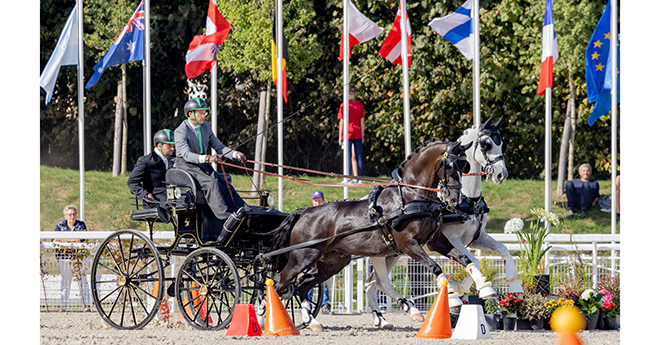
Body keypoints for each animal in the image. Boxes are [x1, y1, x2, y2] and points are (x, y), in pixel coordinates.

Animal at [268, 138, 470, 330]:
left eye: (465, 167)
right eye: (450, 166)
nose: (455, 199)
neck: (409, 197)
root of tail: (303, 212)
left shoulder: (435, 242)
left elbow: (465, 259)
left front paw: (469, 286)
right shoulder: (408, 244)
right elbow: (435, 267)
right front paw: (452, 294)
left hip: (333, 262)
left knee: (302, 286)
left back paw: (313, 322)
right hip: (302, 258)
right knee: (278, 283)